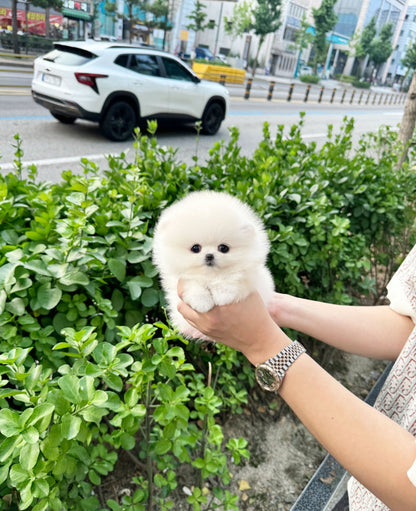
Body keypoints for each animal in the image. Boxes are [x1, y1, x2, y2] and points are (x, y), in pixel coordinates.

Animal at [151, 190, 274, 338]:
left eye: (223, 248)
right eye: (195, 248)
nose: (209, 255)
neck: (210, 276)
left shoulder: (249, 273)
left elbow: (233, 278)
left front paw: (223, 295)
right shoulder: (179, 279)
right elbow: (192, 284)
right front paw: (202, 302)